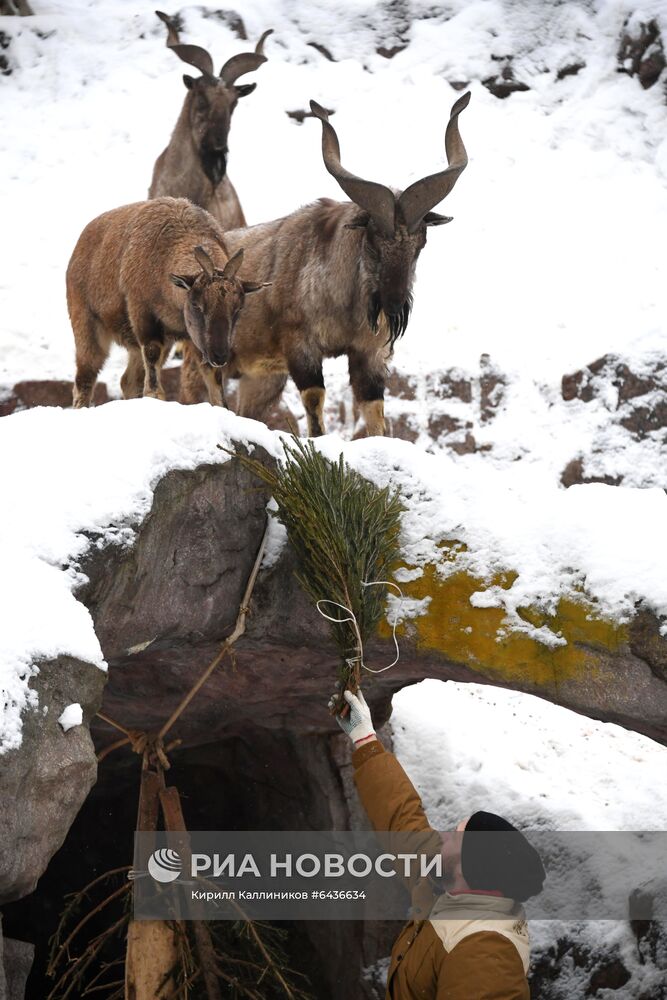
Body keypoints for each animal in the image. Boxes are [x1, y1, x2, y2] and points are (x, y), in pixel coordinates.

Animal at [67, 195, 266, 406]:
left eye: (238, 308)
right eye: (197, 305)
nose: (220, 356)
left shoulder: (195, 340)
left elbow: (215, 385)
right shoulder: (145, 320)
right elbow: (153, 376)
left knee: (128, 381)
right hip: (88, 328)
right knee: (85, 379)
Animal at [183, 94, 472, 438]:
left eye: (420, 244)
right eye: (373, 240)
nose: (394, 304)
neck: (344, 306)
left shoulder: (369, 355)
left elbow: (375, 412)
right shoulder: (301, 346)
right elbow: (315, 403)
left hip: (260, 378)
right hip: (203, 358)